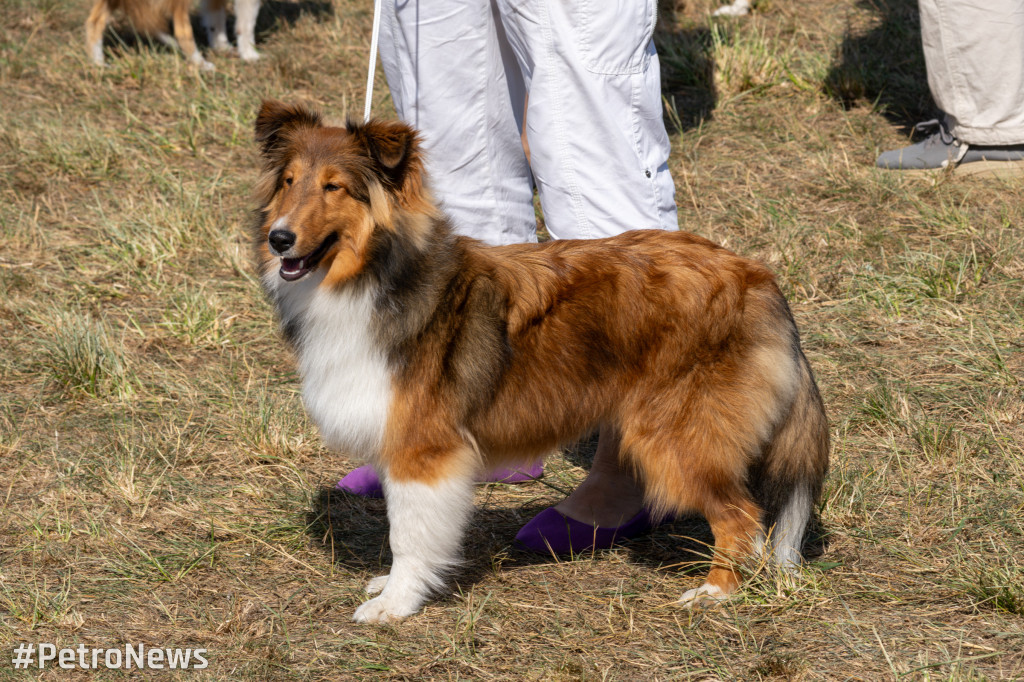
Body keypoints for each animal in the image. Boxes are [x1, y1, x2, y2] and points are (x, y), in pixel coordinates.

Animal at [85, 0, 260, 69]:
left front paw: (221, 46)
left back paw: (98, 63)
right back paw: (200, 63)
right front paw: (250, 54)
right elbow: (247, 22)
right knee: (181, 30)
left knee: (94, 21)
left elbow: (215, 16)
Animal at [249, 99, 831, 622]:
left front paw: (396, 602)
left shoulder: (423, 449)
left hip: (680, 435)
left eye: (334, 187)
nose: (279, 239)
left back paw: (715, 592)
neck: (379, 277)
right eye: (289, 181)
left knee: (743, 516)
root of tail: (756, 278)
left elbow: (408, 534)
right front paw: (391, 586)